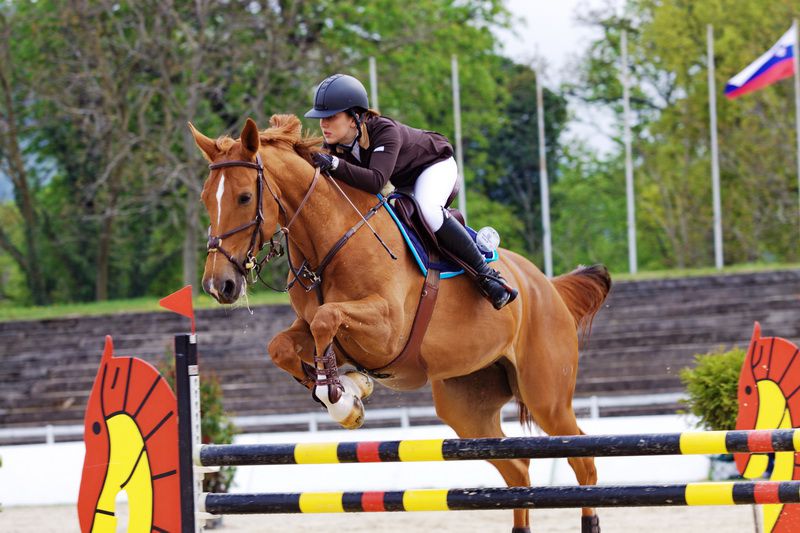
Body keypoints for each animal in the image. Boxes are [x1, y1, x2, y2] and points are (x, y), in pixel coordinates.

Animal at [189, 114, 612, 528]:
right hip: (468, 406)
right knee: (518, 470)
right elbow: (281, 346)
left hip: (547, 398)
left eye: (245, 197)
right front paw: (347, 390)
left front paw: (343, 395)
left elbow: (328, 318)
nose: (218, 285)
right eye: (206, 199)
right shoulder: (314, 329)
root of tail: (548, 286)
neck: (330, 240)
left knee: (583, 461)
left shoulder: (386, 329)